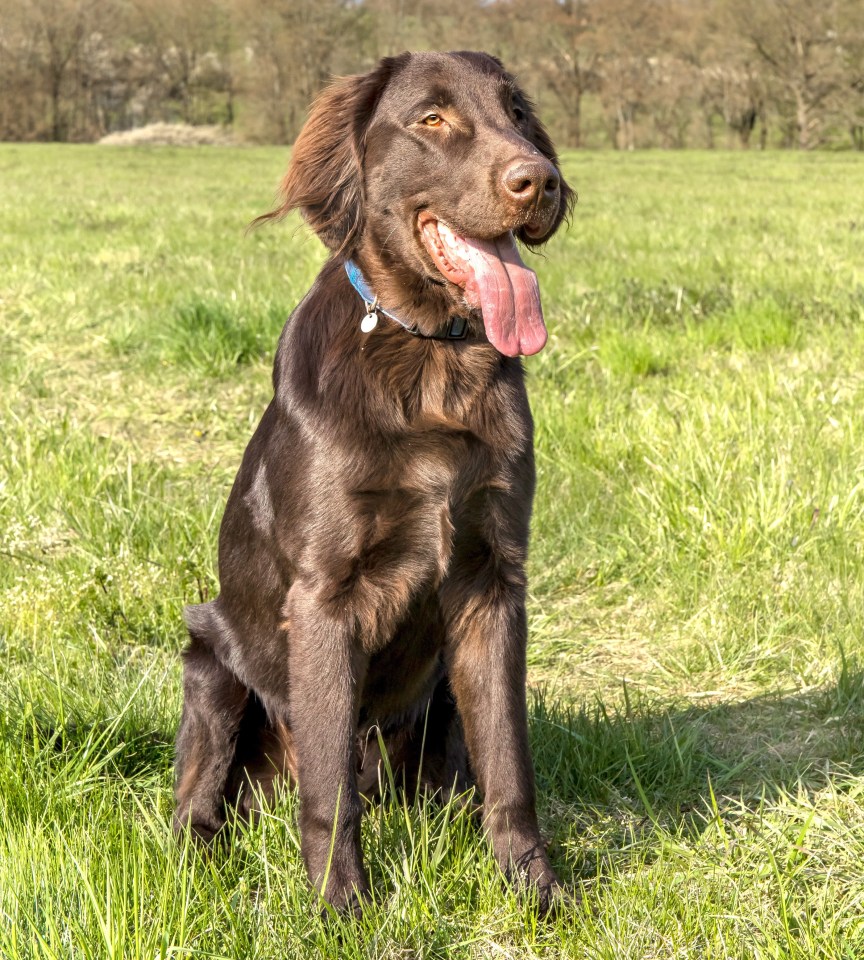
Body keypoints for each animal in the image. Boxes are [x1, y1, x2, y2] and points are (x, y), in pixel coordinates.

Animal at [173, 47, 572, 916]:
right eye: (433, 119)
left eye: (519, 113)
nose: (540, 181)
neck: (429, 355)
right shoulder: (325, 593)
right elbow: (328, 789)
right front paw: (341, 909)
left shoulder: (493, 581)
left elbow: (511, 761)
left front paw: (535, 887)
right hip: (211, 664)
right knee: (200, 802)